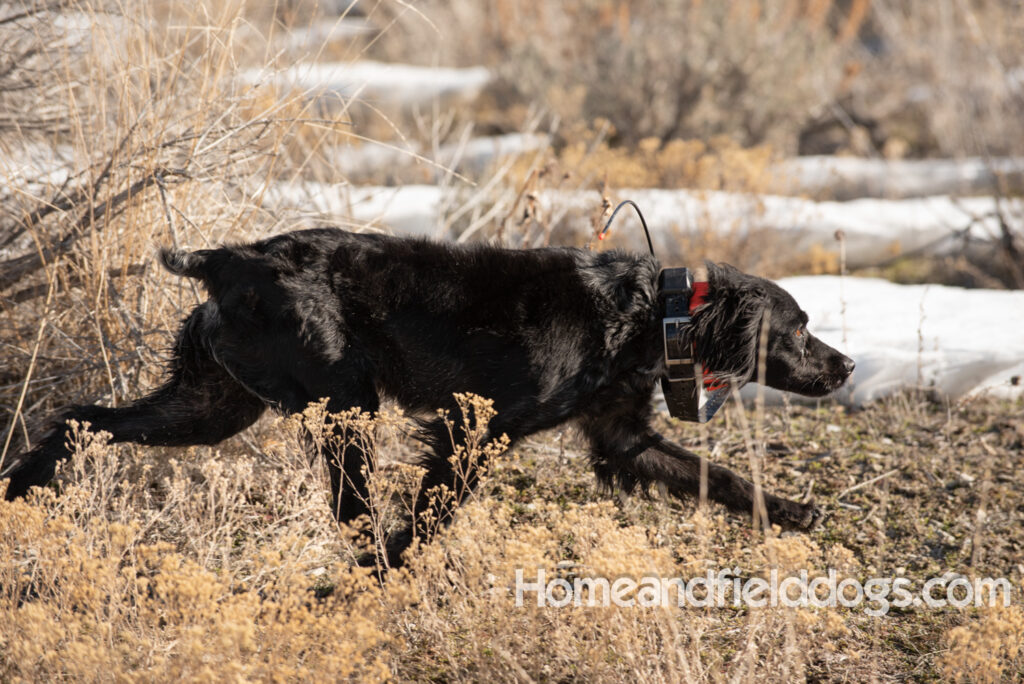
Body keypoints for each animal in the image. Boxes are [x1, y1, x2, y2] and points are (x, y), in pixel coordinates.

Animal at [4, 229, 851, 565]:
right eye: (801, 329)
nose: (844, 367)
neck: (644, 314)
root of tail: (227, 260)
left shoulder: (623, 439)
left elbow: (724, 478)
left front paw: (795, 512)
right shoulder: (471, 431)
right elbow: (434, 515)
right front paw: (401, 563)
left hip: (211, 406)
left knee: (81, 419)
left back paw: (20, 489)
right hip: (342, 404)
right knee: (352, 510)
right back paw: (366, 568)